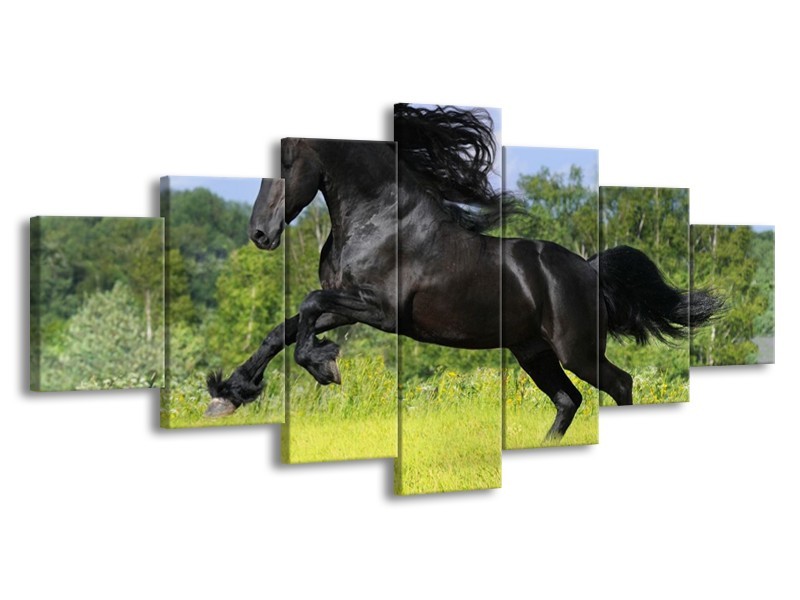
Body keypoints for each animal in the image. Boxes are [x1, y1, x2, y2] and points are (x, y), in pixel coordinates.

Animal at [206, 104, 722, 439]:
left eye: (286, 161)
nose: (259, 233)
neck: (381, 218)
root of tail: (589, 270)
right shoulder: (349, 305)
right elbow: (284, 329)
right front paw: (228, 394)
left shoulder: (382, 311)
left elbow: (307, 308)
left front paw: (324, 366)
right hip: (532, 352)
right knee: (568, 400)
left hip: (576, 351)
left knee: (620, 384)